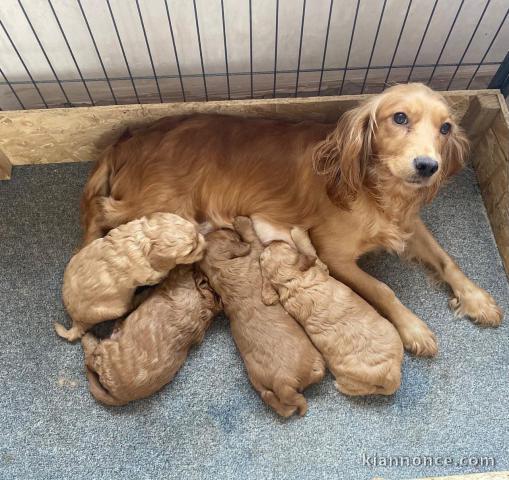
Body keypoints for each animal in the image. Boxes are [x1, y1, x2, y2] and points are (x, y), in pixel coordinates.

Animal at [55, 213, 204, 342]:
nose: (205, 246)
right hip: (117, 307)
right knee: (129, 305)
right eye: (191, 250)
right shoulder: (150, 274)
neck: (142, 241)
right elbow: (162, 274)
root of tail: (77, 322)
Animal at [81, 81, 502, 356]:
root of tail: (127, 139)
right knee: (98, 209)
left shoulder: (408, 224)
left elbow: (447, 261)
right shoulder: (334, 256)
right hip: (164, 209)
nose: (428, 166)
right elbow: (383, 289)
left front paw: (477, 298)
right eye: (399, 118)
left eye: (445, 128)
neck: (374, 189)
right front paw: (412, 327)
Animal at [81, 264, 220, 406]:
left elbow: (143, 295)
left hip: (106, 350)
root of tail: (120, 398)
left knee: (90, 359)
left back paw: (89, 337)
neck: (203, 304)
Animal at [199, 218, 324, 416]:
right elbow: (252, 238)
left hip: (262, 386)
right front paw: (242, 222)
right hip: (314, 358)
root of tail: (283, 385)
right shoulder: (258, 253)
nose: (227, 226)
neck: (220, 269)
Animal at [260, 229, 402, 398]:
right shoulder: (321, 269)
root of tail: (391, 375)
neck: (291, 280)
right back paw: (339, 386)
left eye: (285, 246)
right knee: (362, 389)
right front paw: (298, 232)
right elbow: (311, 252)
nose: (270, 243)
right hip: (351, 378)